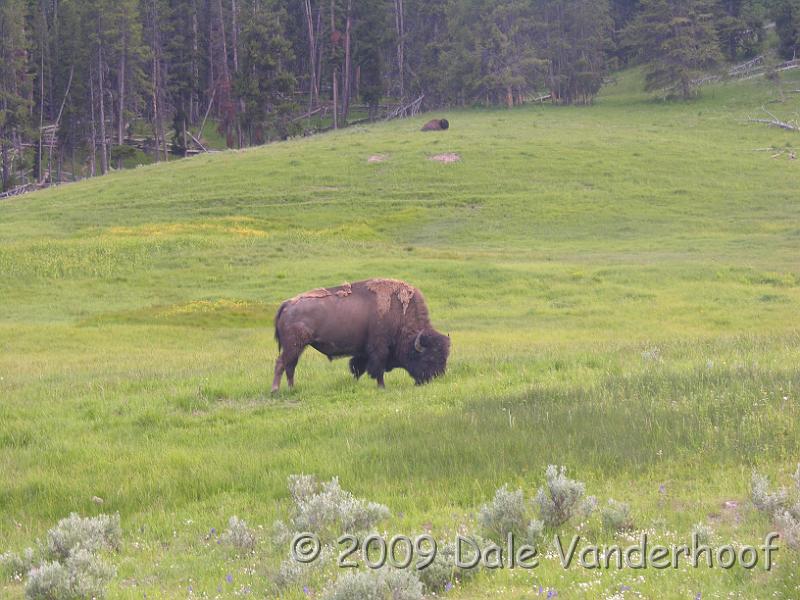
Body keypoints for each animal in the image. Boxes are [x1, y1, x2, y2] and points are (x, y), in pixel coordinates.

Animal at [272, 279, 450, 391]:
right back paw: (276, 390)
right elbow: (377, 369)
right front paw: (382, 387)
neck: (400, 313)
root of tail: (287, 304)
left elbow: (357, 368)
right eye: (429, 357)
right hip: (293, 346)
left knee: (290, 366)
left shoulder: (363, 352)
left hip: (297, 348)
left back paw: (291, 388)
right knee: (282, 363)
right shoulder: (379, 349)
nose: (436, 378)